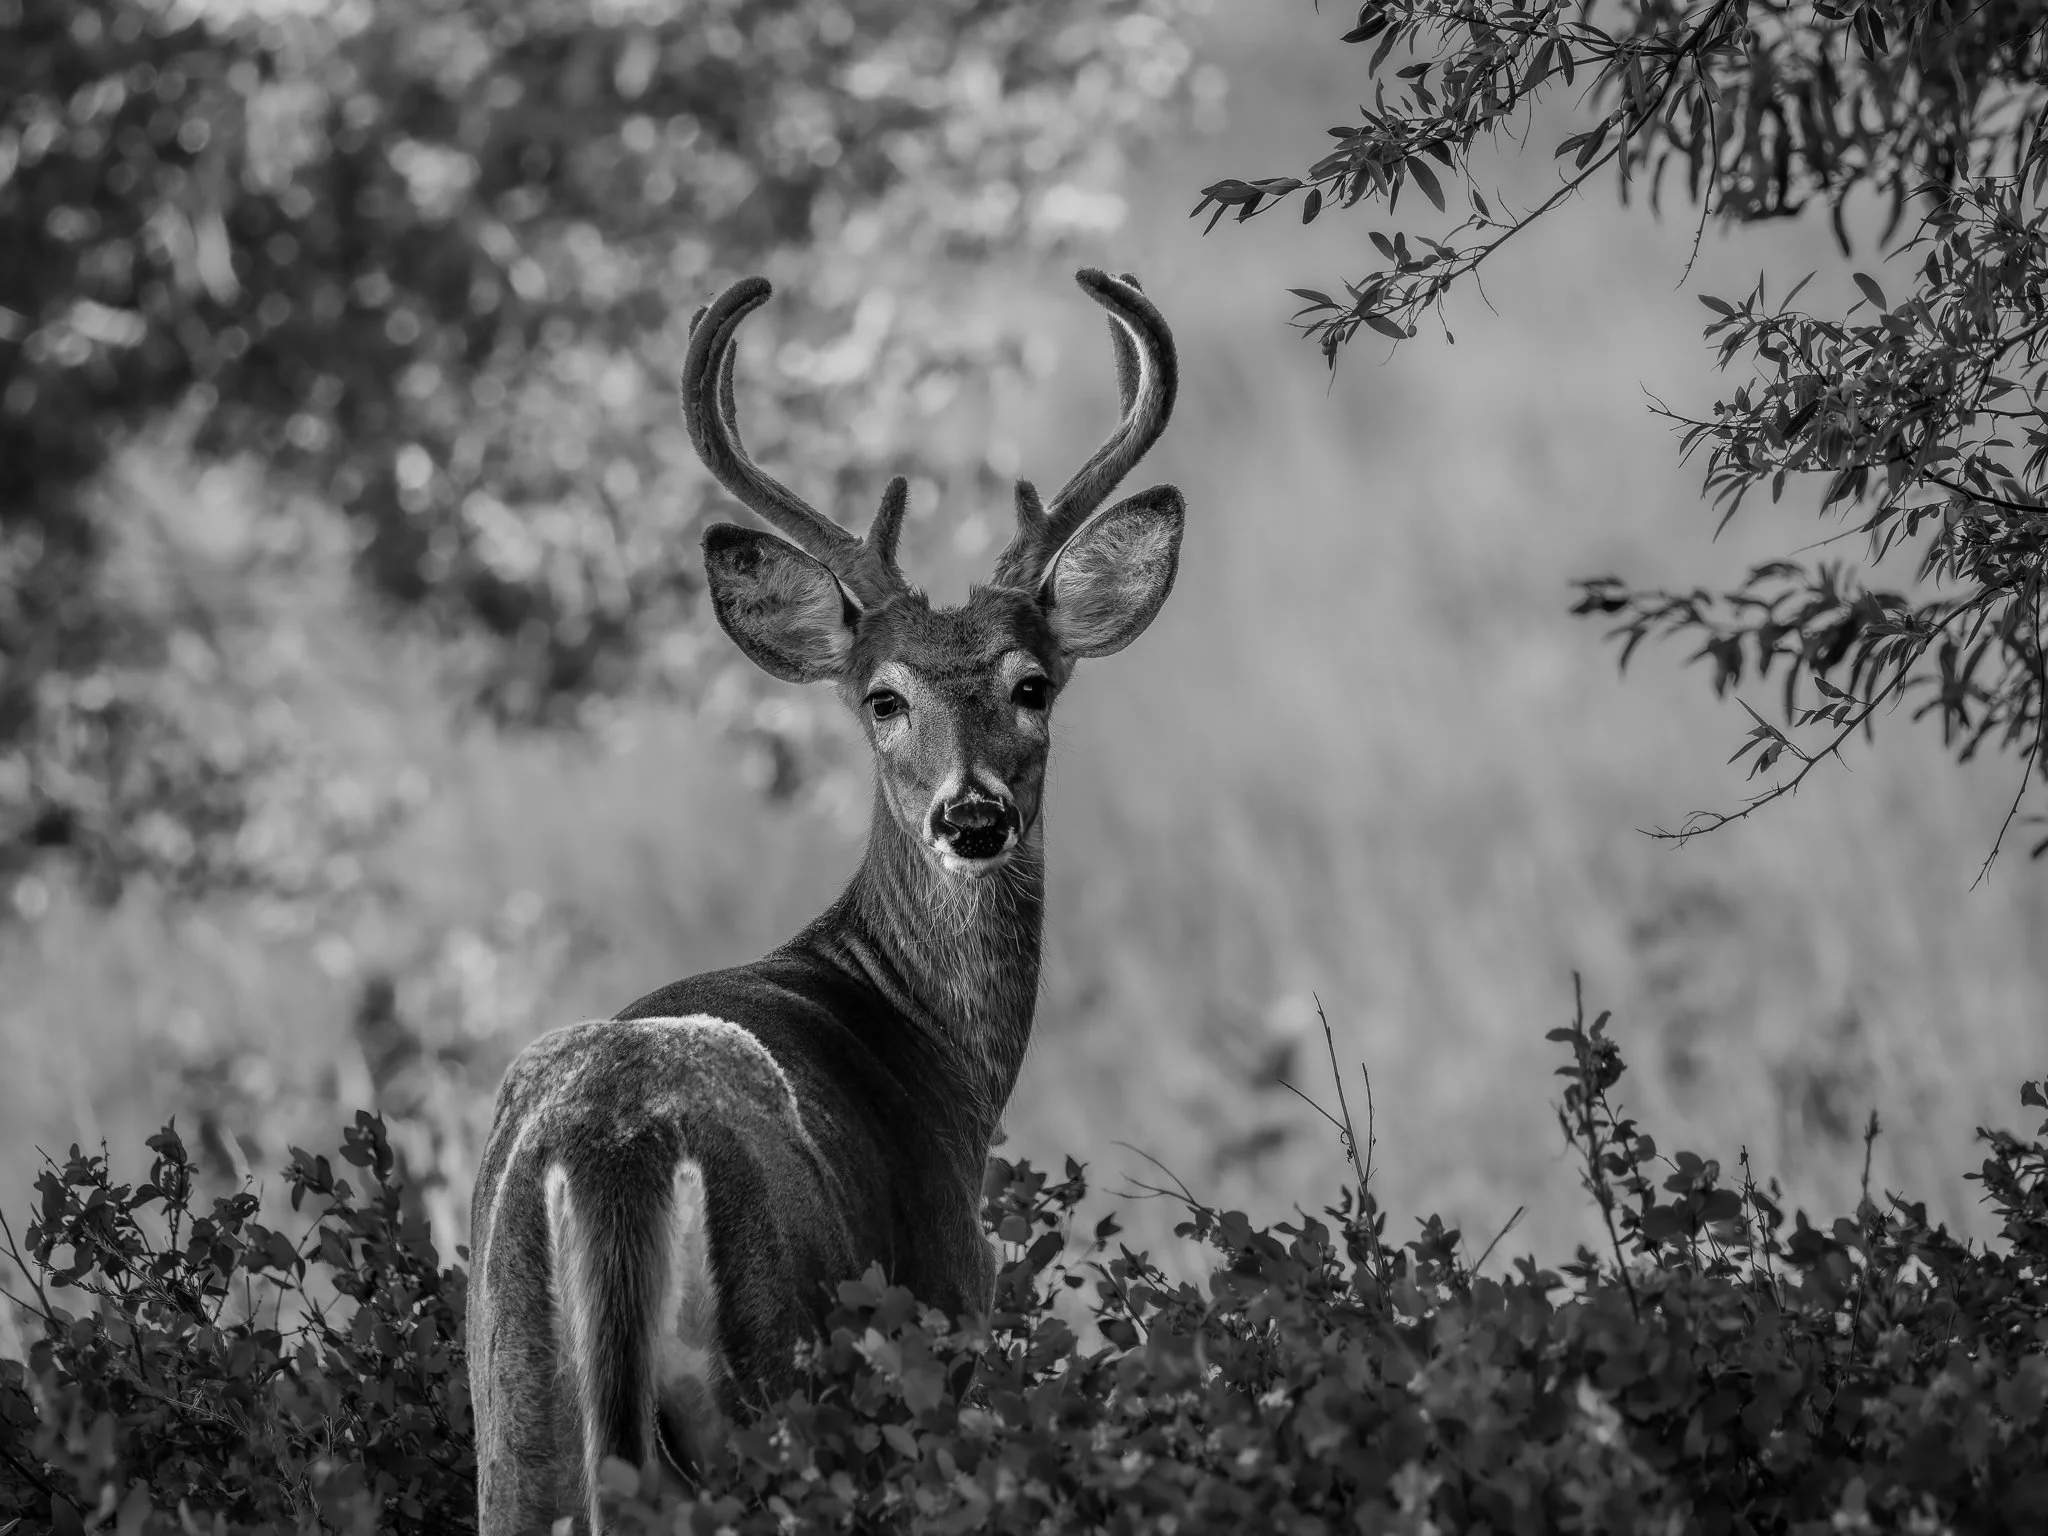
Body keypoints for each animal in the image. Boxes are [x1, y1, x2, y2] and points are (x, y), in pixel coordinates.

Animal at [466, 268, 1181, 1535]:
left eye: (1032, 686)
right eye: (881, 698)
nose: (972, 817)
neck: (933, 1043)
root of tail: (612, 1150)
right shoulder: (954, 1295)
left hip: (511, 1406)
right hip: (776, 1371)